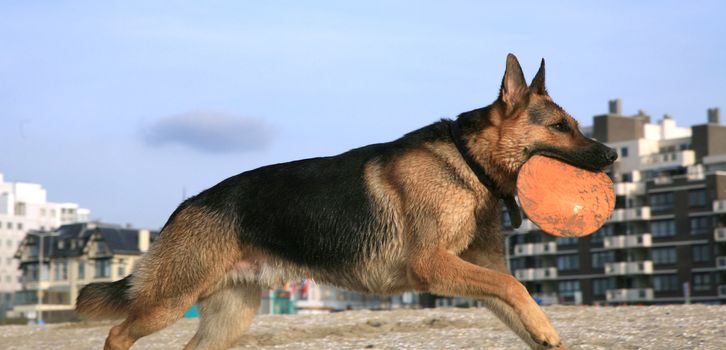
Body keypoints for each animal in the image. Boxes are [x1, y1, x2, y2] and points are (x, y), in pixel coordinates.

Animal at [77, 54, 616, 350]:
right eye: (560, 127)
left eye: (575, 124)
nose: (612, 155)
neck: (466, 161)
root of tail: (184, 207)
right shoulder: (433, 266)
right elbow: (515, 286)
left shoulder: (472, 273)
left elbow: (516, 298)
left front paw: (544, 333)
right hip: (170, 300)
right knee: (118, 334)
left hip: (226, 319)